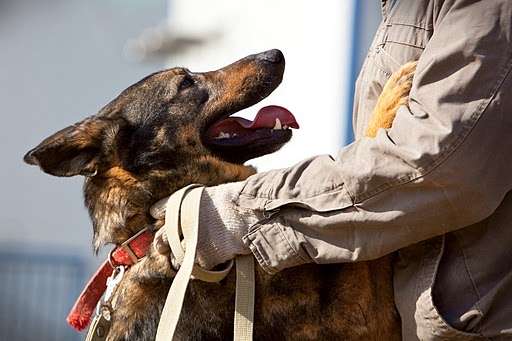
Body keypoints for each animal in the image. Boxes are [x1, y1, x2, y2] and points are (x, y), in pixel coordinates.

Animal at [25, 49, 416, 338]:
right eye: (185, 82)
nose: (275, 54)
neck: (154, 224)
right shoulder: (359, 301)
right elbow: (369, 151)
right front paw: (391, 96)